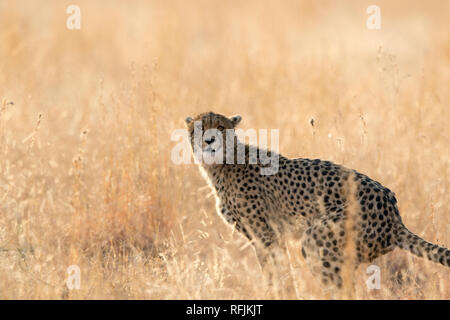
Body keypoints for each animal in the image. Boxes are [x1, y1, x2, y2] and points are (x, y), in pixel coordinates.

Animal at [184, 112, 450, 288]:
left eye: (220, 127)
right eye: (199, 129)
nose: (209, 140)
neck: (222, 164)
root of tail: (394, 213)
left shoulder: (266, 235)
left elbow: (276, 272)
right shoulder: (262, 237)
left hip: (320, 239)